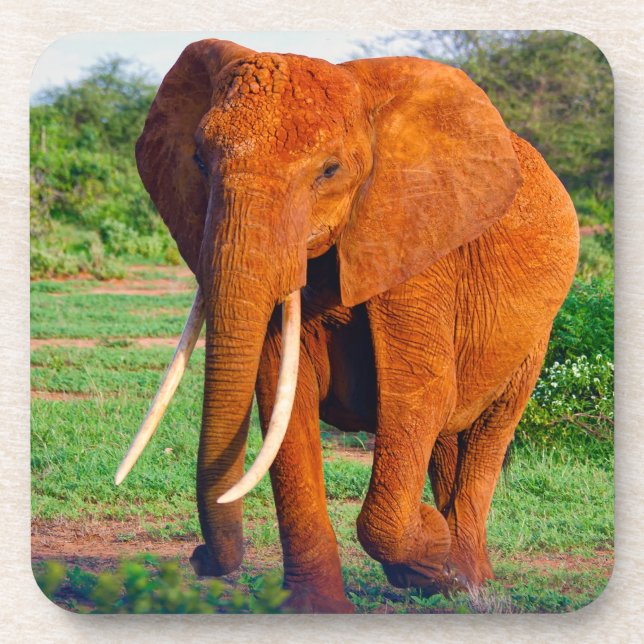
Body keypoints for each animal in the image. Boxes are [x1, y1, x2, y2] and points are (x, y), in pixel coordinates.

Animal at [115, 38, 579, 613]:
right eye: (199, 160)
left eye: (329, 171)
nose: (199, 558)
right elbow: (282, 397)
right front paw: (317, 610)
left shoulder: (416, 244)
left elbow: (419, 394)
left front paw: (430, 548)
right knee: (450, 436)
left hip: (537, 332)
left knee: (489, 430)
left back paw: (466, 582)